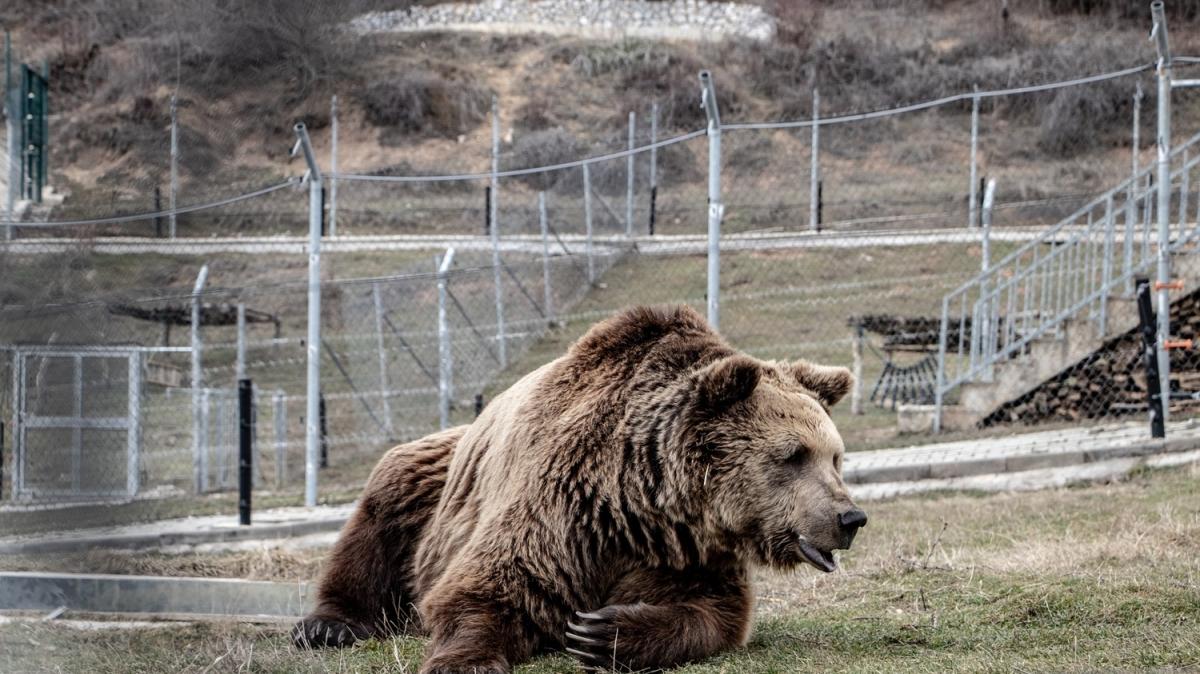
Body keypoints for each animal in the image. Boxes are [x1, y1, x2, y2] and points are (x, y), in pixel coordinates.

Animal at [295, 305, 868, 671]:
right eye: (793, 455)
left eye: (836, 456)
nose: (850, 518)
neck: (643, 497)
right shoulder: (563, 510)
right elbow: (484, 588)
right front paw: (467, 660)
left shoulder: (683, 549)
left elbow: (715, 614)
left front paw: (601, 632)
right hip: (432, 480)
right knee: (382, 510)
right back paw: (327, 625)